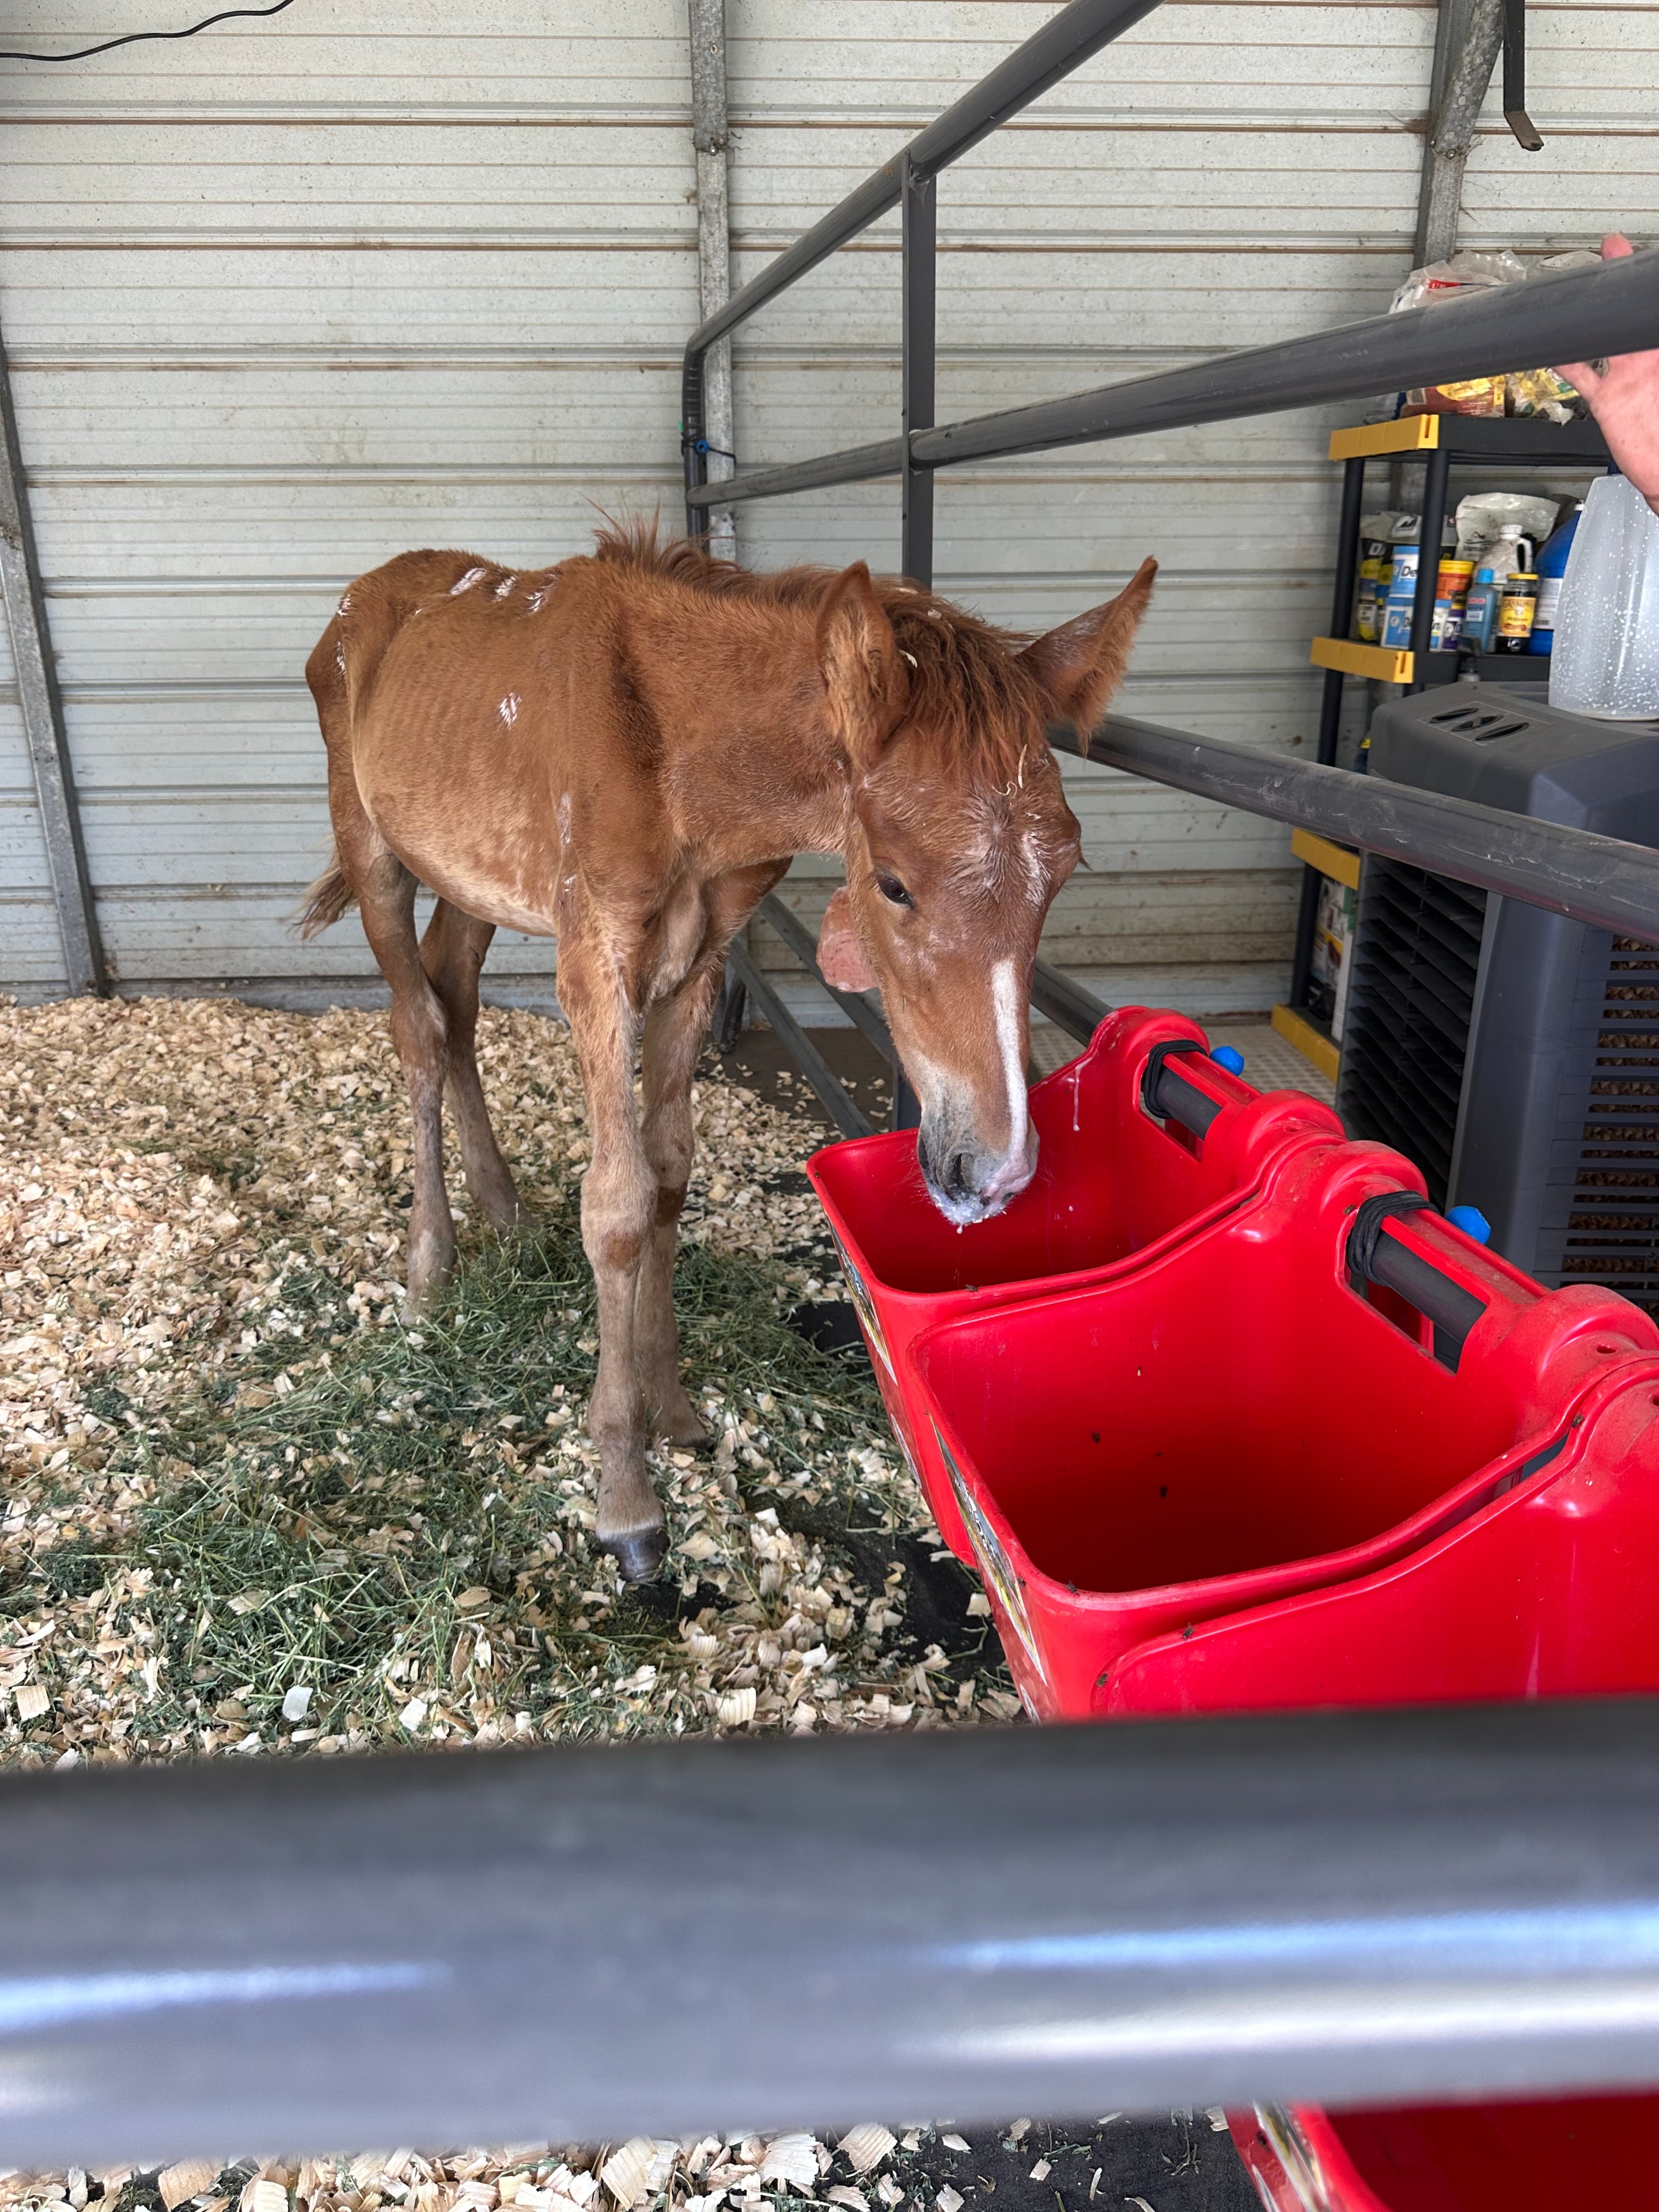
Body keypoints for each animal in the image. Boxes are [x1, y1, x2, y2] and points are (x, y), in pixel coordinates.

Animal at [300, 523, 1156, 1580]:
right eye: (895, 884)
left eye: (1065, 868)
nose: (990, 1171)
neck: (675, 755)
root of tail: (365, 597)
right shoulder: (595, 957)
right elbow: (618, 1203)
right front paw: (626, 1498)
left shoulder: (701, 958)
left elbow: (669, 1173)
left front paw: (670, 1409)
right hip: (372, 845)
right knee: (417, 1027)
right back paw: (431, 1269)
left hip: (470, 879)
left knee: (454, 1000)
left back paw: (503, 1210)